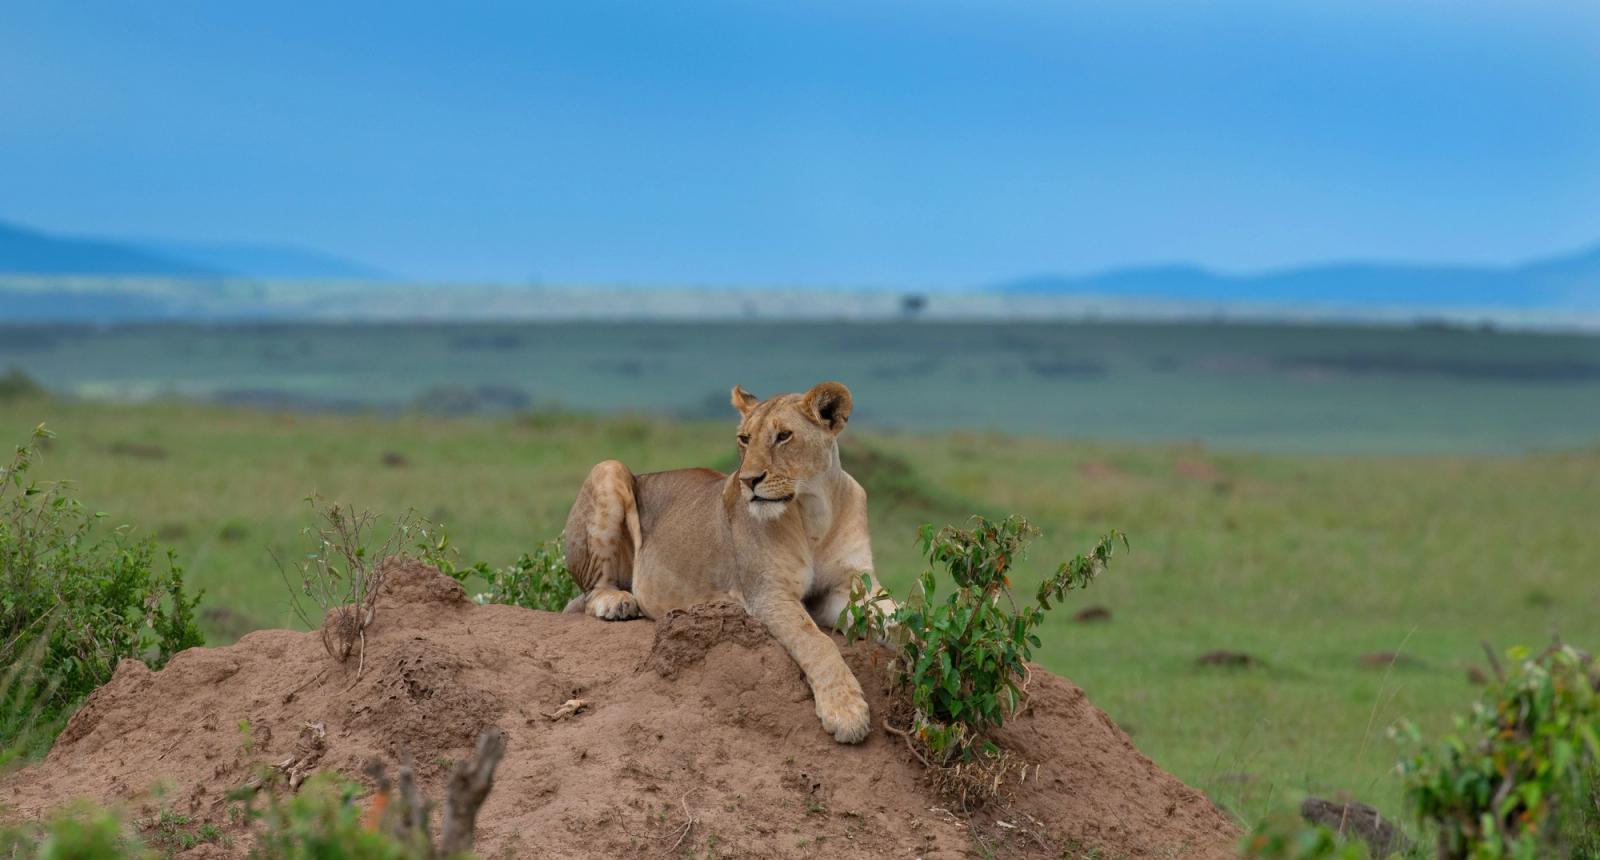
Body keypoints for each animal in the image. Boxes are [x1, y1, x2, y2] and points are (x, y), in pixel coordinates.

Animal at [560, 381, 892, 743]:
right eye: (744, 438)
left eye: (783, 436)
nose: (748, 480)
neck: (815, 509)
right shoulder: (768, 593)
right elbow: (816, 641)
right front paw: (846, 712)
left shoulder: (849, 587)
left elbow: (895, 614)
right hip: (608, 468)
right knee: (591, 590)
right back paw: (617, 601)